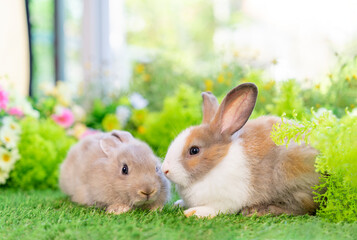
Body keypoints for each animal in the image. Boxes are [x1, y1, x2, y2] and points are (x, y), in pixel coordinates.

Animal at [161, 82, 320, 218]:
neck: (216, 165)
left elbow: (215, 208)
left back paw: (257, 210)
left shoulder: (226, 200)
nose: (165, 170)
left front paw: (193, 212)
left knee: (301, 207)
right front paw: (178, 204)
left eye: (194, 150)